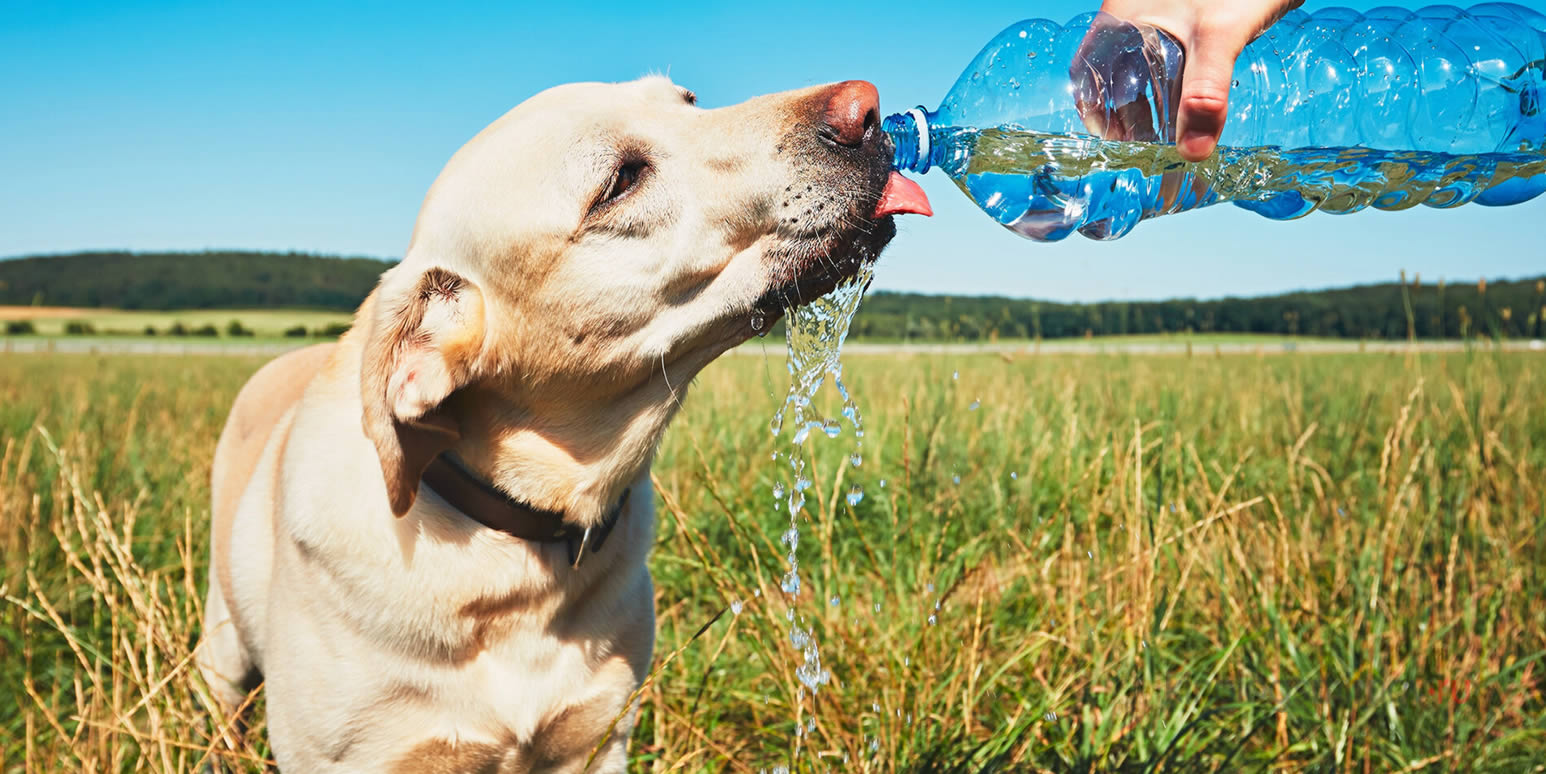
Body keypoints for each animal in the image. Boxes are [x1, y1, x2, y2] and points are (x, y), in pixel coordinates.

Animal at [200, 73, 933, 772]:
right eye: (619, 181)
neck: (518, 556)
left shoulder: (598, 738)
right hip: (221, 649)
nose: (867, 109)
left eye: (689, 101)